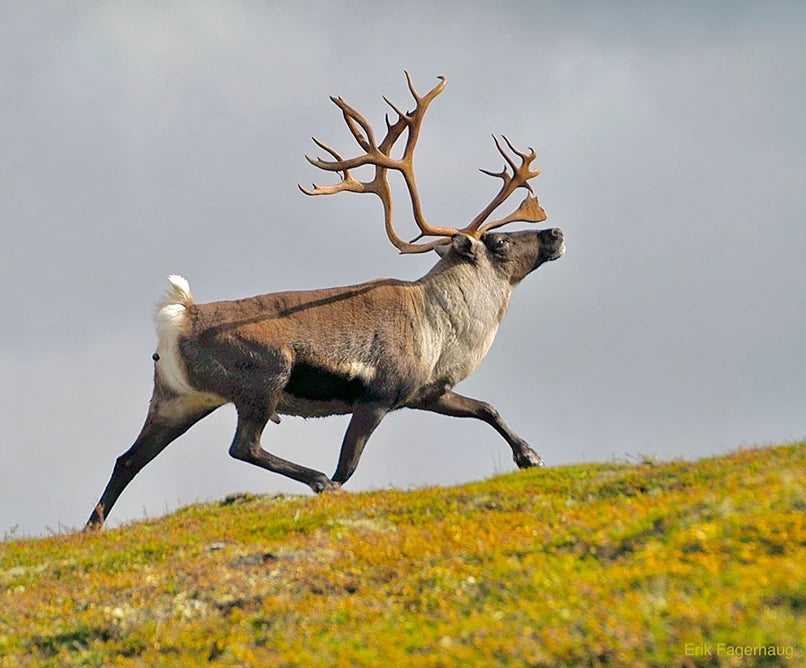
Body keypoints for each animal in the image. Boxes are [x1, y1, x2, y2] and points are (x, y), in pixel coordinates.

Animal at [85, 73, 565, 530]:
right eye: (500, 242)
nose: (555, 233)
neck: (440, 326)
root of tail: (177, 317)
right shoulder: (377, 397)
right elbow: (347, 467)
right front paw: (331, 484)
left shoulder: (425, 392)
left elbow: (487, 407)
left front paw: (530, 457)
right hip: (264, 380)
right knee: (244, 446)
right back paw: (316, 481)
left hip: (179, 400)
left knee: (128, 458)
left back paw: (93, 527)